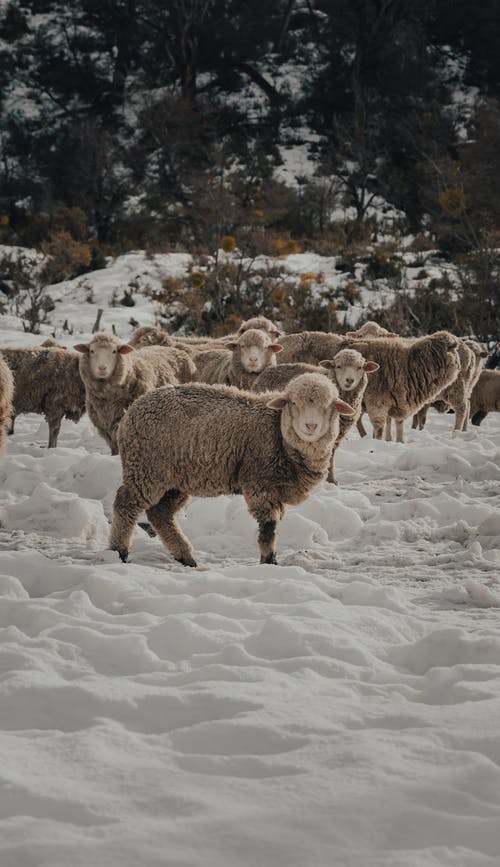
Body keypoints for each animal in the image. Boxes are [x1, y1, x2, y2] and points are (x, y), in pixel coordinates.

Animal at [108, 374, 356, 568]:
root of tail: (131, 410)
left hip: (173, 479)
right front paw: (269, 561)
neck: (280, 435)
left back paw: (185, 556)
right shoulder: (259, 484)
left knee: (160, 514)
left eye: (329, 405)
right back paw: (119, 551)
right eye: (293, 402)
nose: (310, 426)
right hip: (146, 469)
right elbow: (269, 528)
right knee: (126, 504)